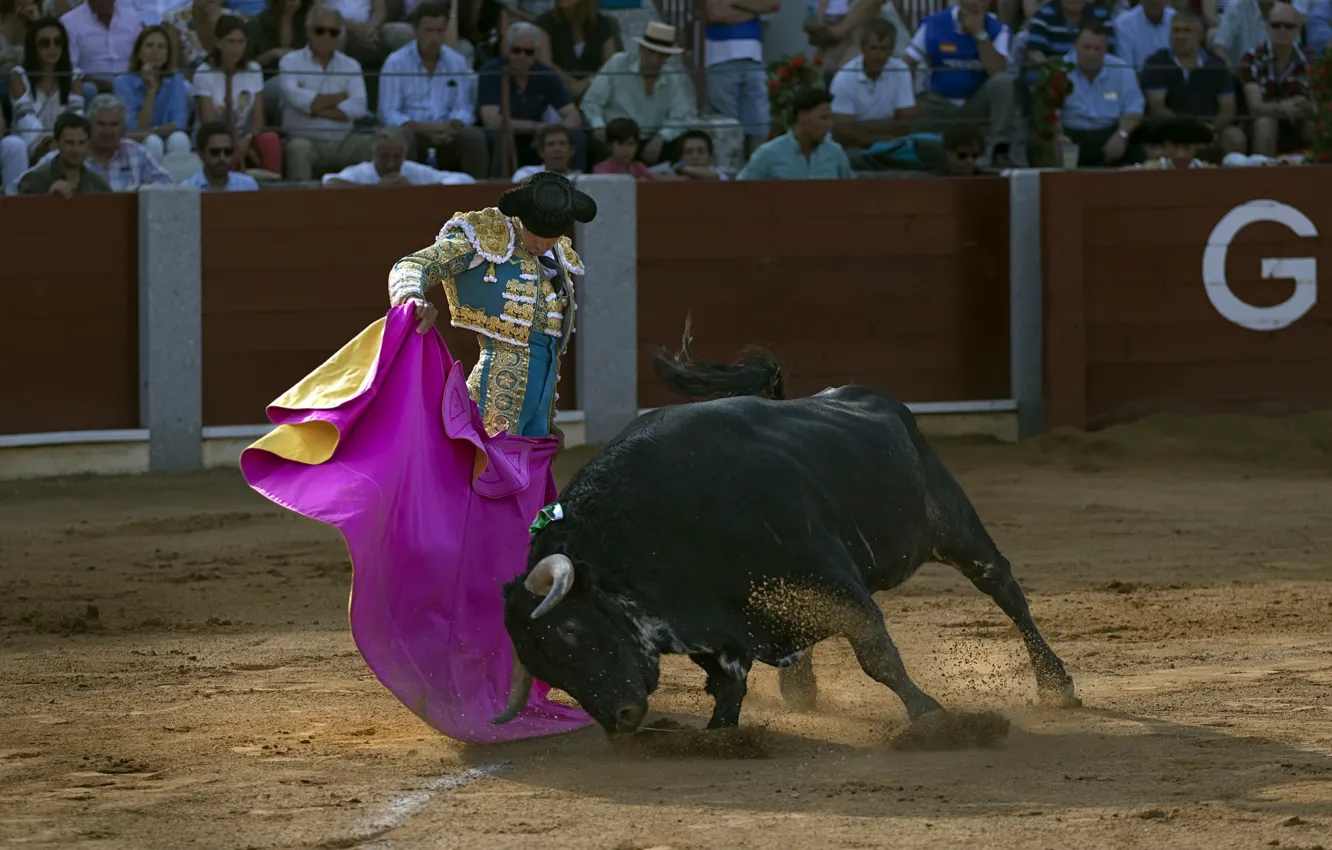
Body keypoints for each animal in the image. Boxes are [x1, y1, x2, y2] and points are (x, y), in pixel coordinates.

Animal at [491, 322, 1079, 735]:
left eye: (573, 629)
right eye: (546, 667)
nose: (622, 719)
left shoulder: (832, 578)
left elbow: (877, 657)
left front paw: (930, 715)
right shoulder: (714, 620)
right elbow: (726, 683)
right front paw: (720, 735)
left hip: (953, 525)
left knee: (1002, 586)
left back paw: (1058, 685)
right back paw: (799, 685)